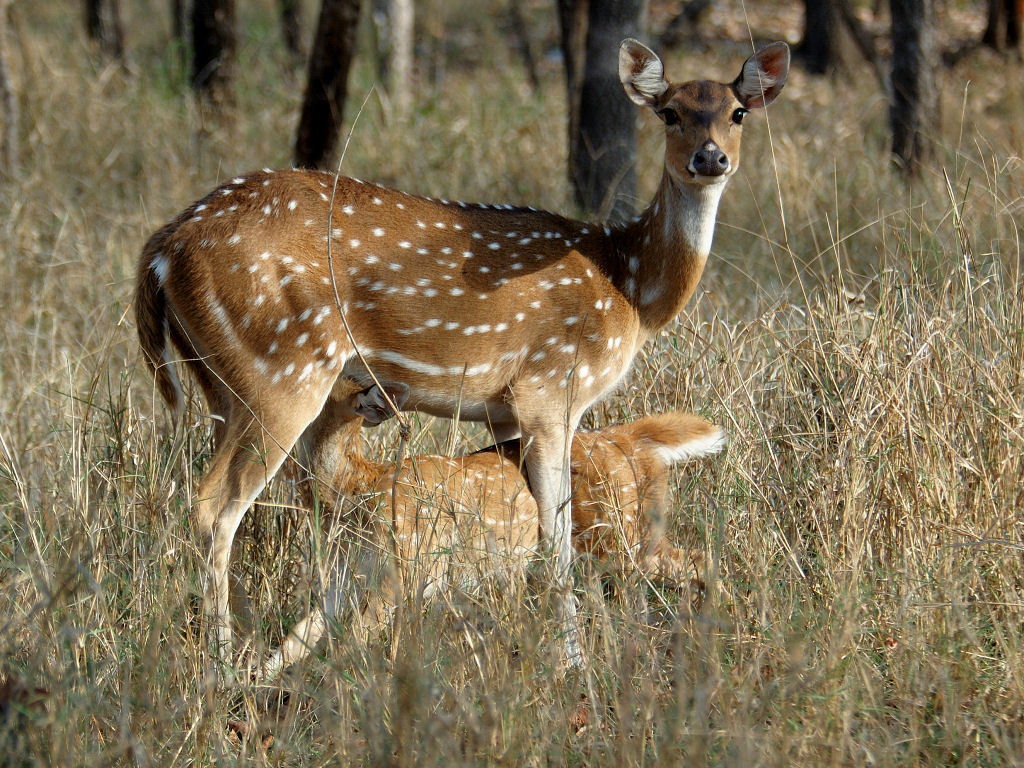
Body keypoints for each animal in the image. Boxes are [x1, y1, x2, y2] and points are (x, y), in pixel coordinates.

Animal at [260, 379, 725, 679]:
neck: (359, 491)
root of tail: (629, 439)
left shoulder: (409, 564)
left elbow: (354, 638)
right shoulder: (346, 575)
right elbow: (298, 637)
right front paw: (251, 683)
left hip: (616, 537)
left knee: (694, 559)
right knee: (683, 564)